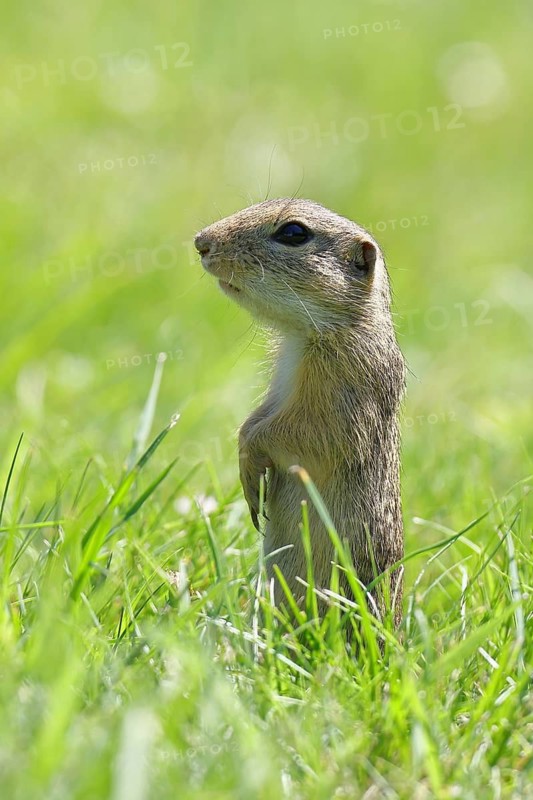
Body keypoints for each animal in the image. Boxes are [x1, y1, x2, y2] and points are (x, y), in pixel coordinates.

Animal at [195, 198, 405, 625]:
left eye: (294, 233)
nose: (201, 242)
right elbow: (256, 418)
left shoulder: (343, 389)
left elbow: (306, 436)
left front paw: (252, 462)